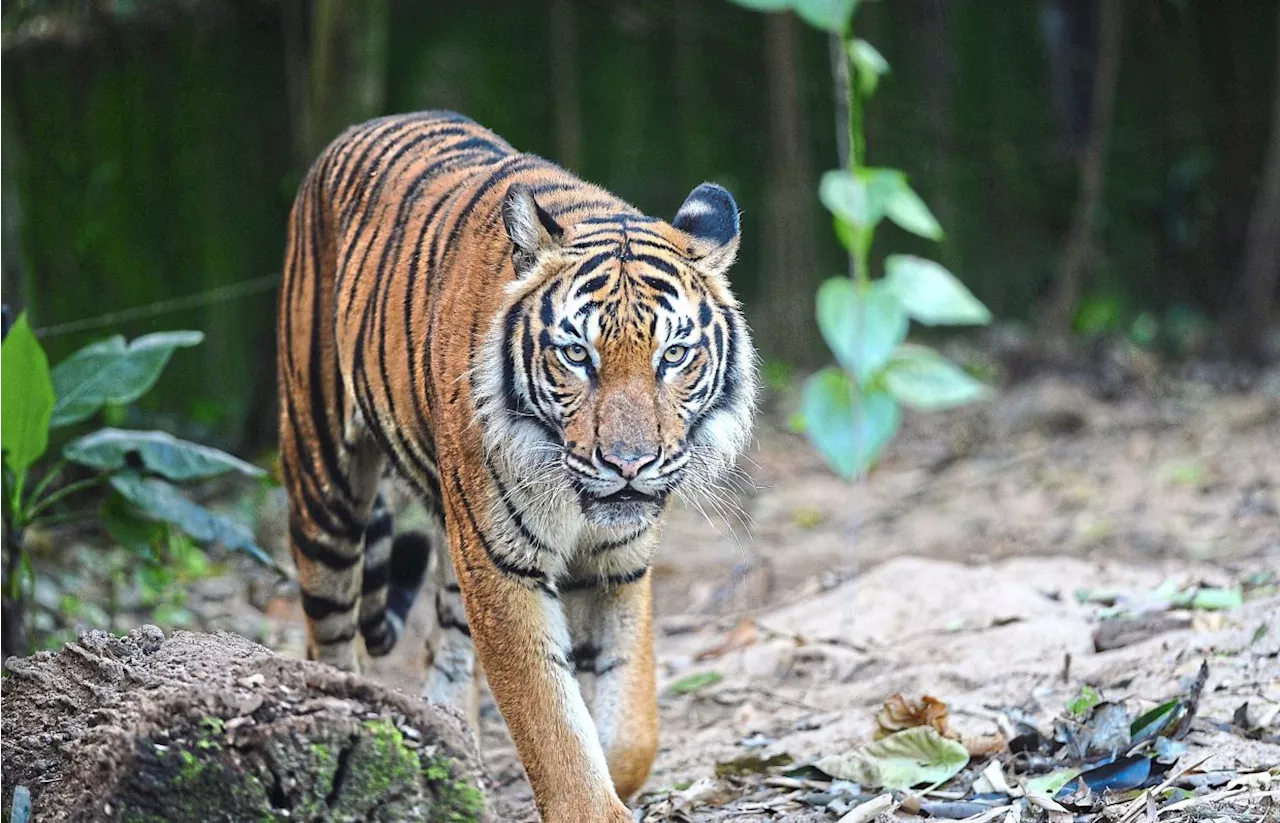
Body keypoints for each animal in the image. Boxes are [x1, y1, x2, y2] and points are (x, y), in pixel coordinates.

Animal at [277, 111, 757, 823]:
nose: (630, 463)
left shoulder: (620, 562)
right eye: (576, 354)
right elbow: (551, 722)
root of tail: (361, 127)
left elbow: (631, 724)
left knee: (443, 647)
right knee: (330, 643)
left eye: (673, 354)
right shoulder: (502, 568)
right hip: (326, 487)